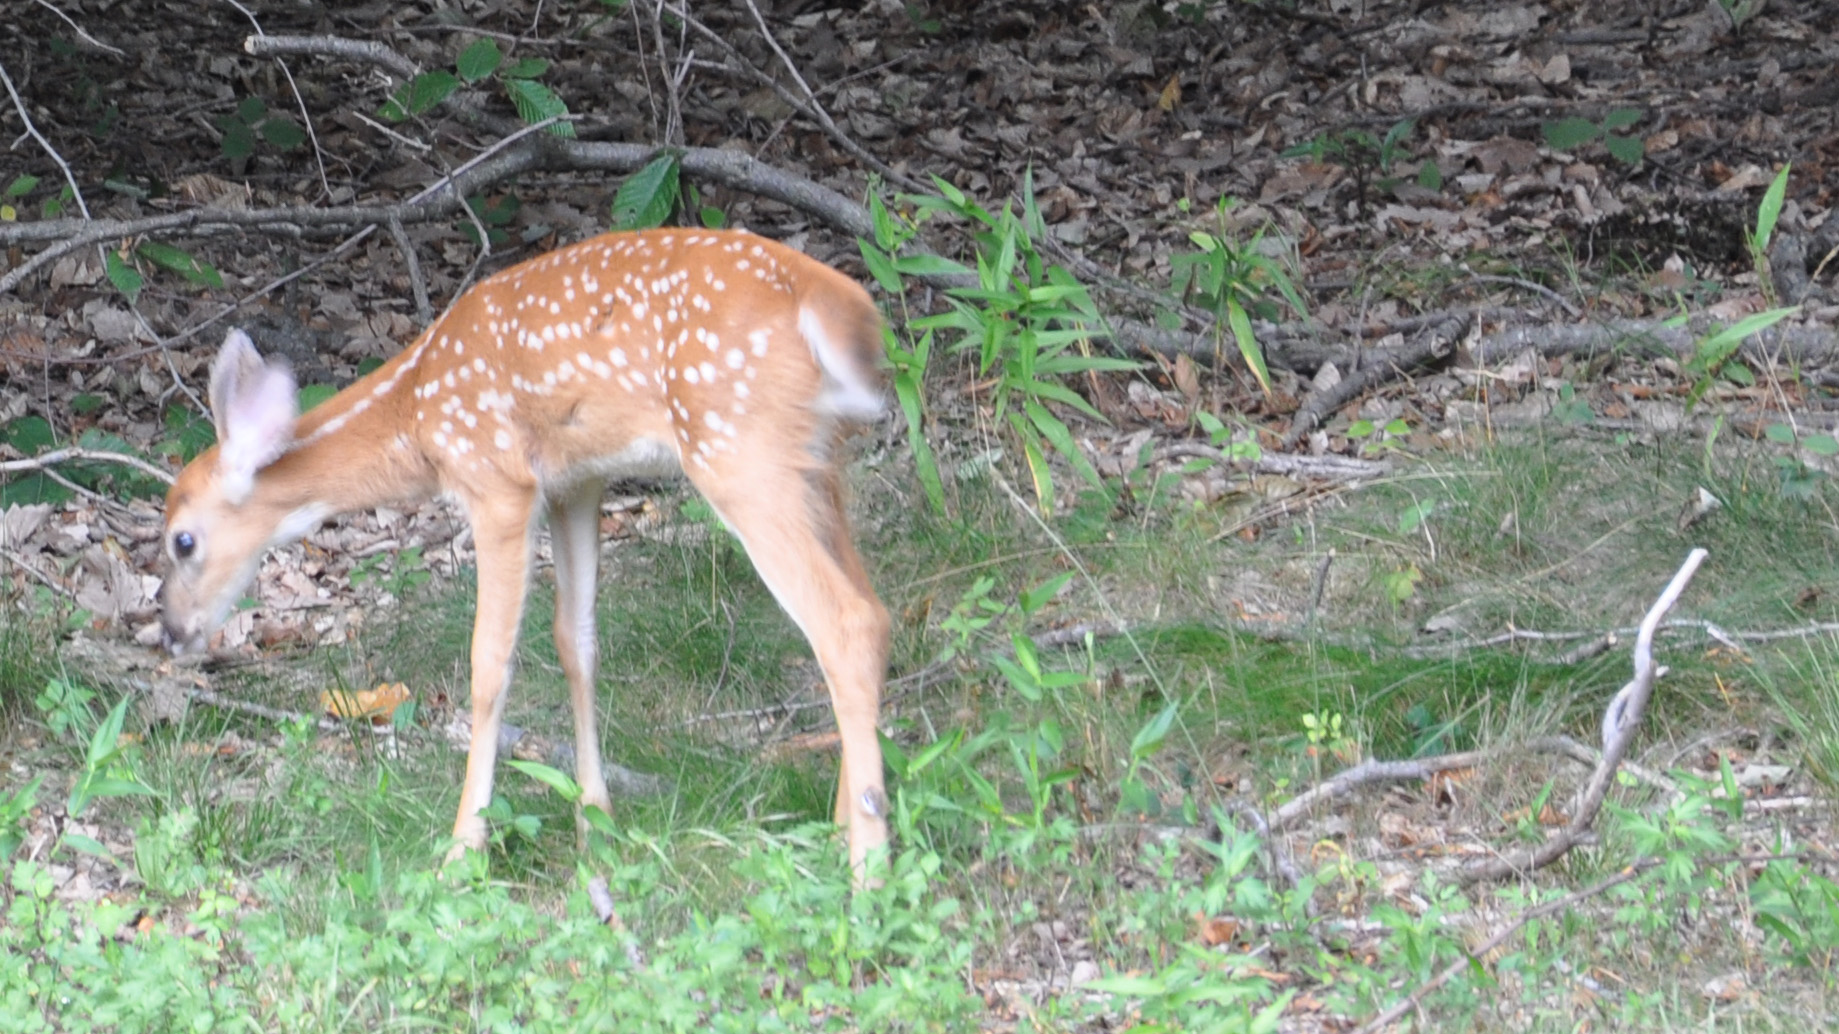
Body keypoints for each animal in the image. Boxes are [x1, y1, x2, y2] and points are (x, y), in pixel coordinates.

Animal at [157, 229, 892, 872]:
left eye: (181, 540)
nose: (170, 632)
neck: (416, 416)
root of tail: (834, 302)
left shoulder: (498, 481)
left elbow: (490, 663)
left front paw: (463, 848)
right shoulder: (577, 483)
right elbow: (576, 640)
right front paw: (595, 822)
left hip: (737, 447)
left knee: (846, 620)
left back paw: (868, 867)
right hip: (819, 462)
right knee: (869, 610)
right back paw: (838, 829)